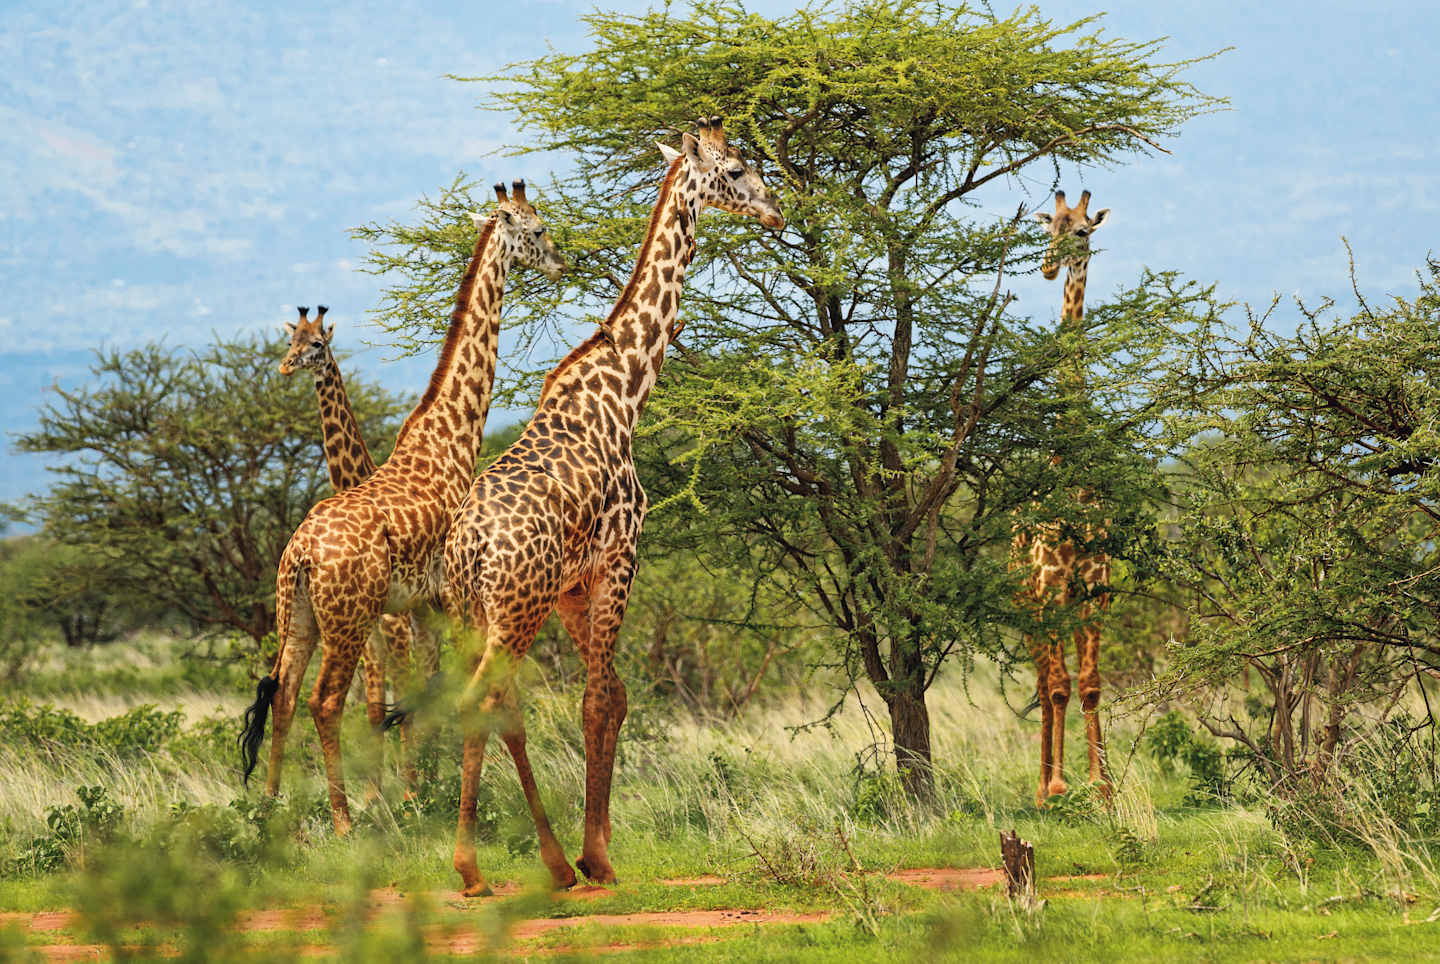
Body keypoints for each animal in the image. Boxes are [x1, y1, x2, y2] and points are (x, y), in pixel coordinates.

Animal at [276, 305, 419, 767]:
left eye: (318, 343)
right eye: (291, 341)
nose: (287, 366)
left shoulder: (395, 628)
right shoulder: (373, 637)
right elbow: (374, 710)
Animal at [441, 117, 783, 896]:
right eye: (737, 168)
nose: (777, 211)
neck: (627, 386)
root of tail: (470, 548)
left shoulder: (574, 584)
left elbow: (615, 696)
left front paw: (592, 849)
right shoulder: (622, 555)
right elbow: (598, 699)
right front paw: (598, 857)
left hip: (475, 612)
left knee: (490, 701)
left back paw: (521, 862)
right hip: (515, 609)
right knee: (484, 700)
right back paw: (490, 867)